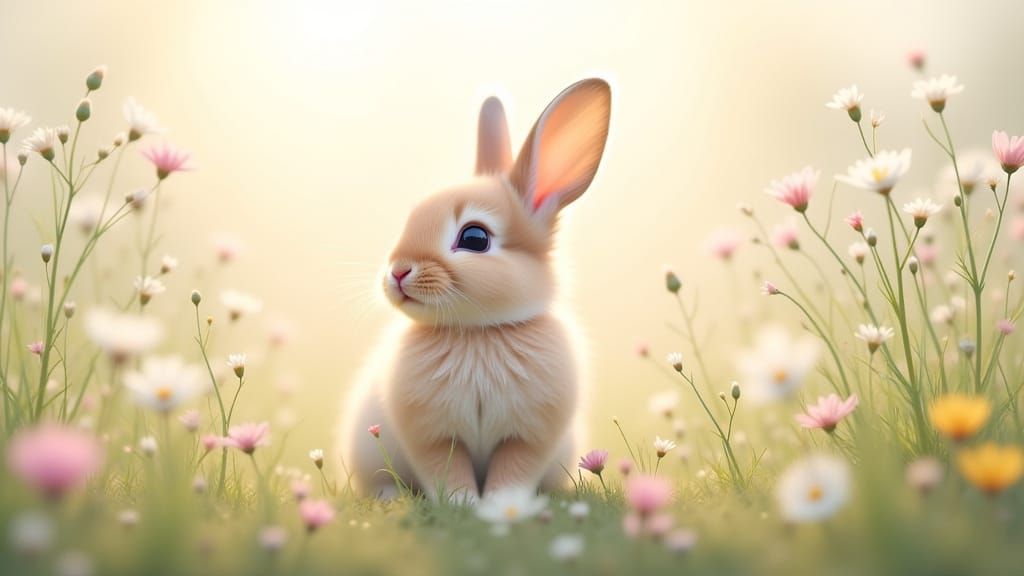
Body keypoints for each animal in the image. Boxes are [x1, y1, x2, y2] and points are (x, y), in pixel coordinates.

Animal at [337, 78, 611, 502]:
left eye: (475, 238)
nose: (398, 272)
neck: (478, 333)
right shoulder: (433, 436)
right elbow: (446, 471)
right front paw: (462, 505)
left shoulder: (527, 438)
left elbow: (512, 473)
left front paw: (500, 508)